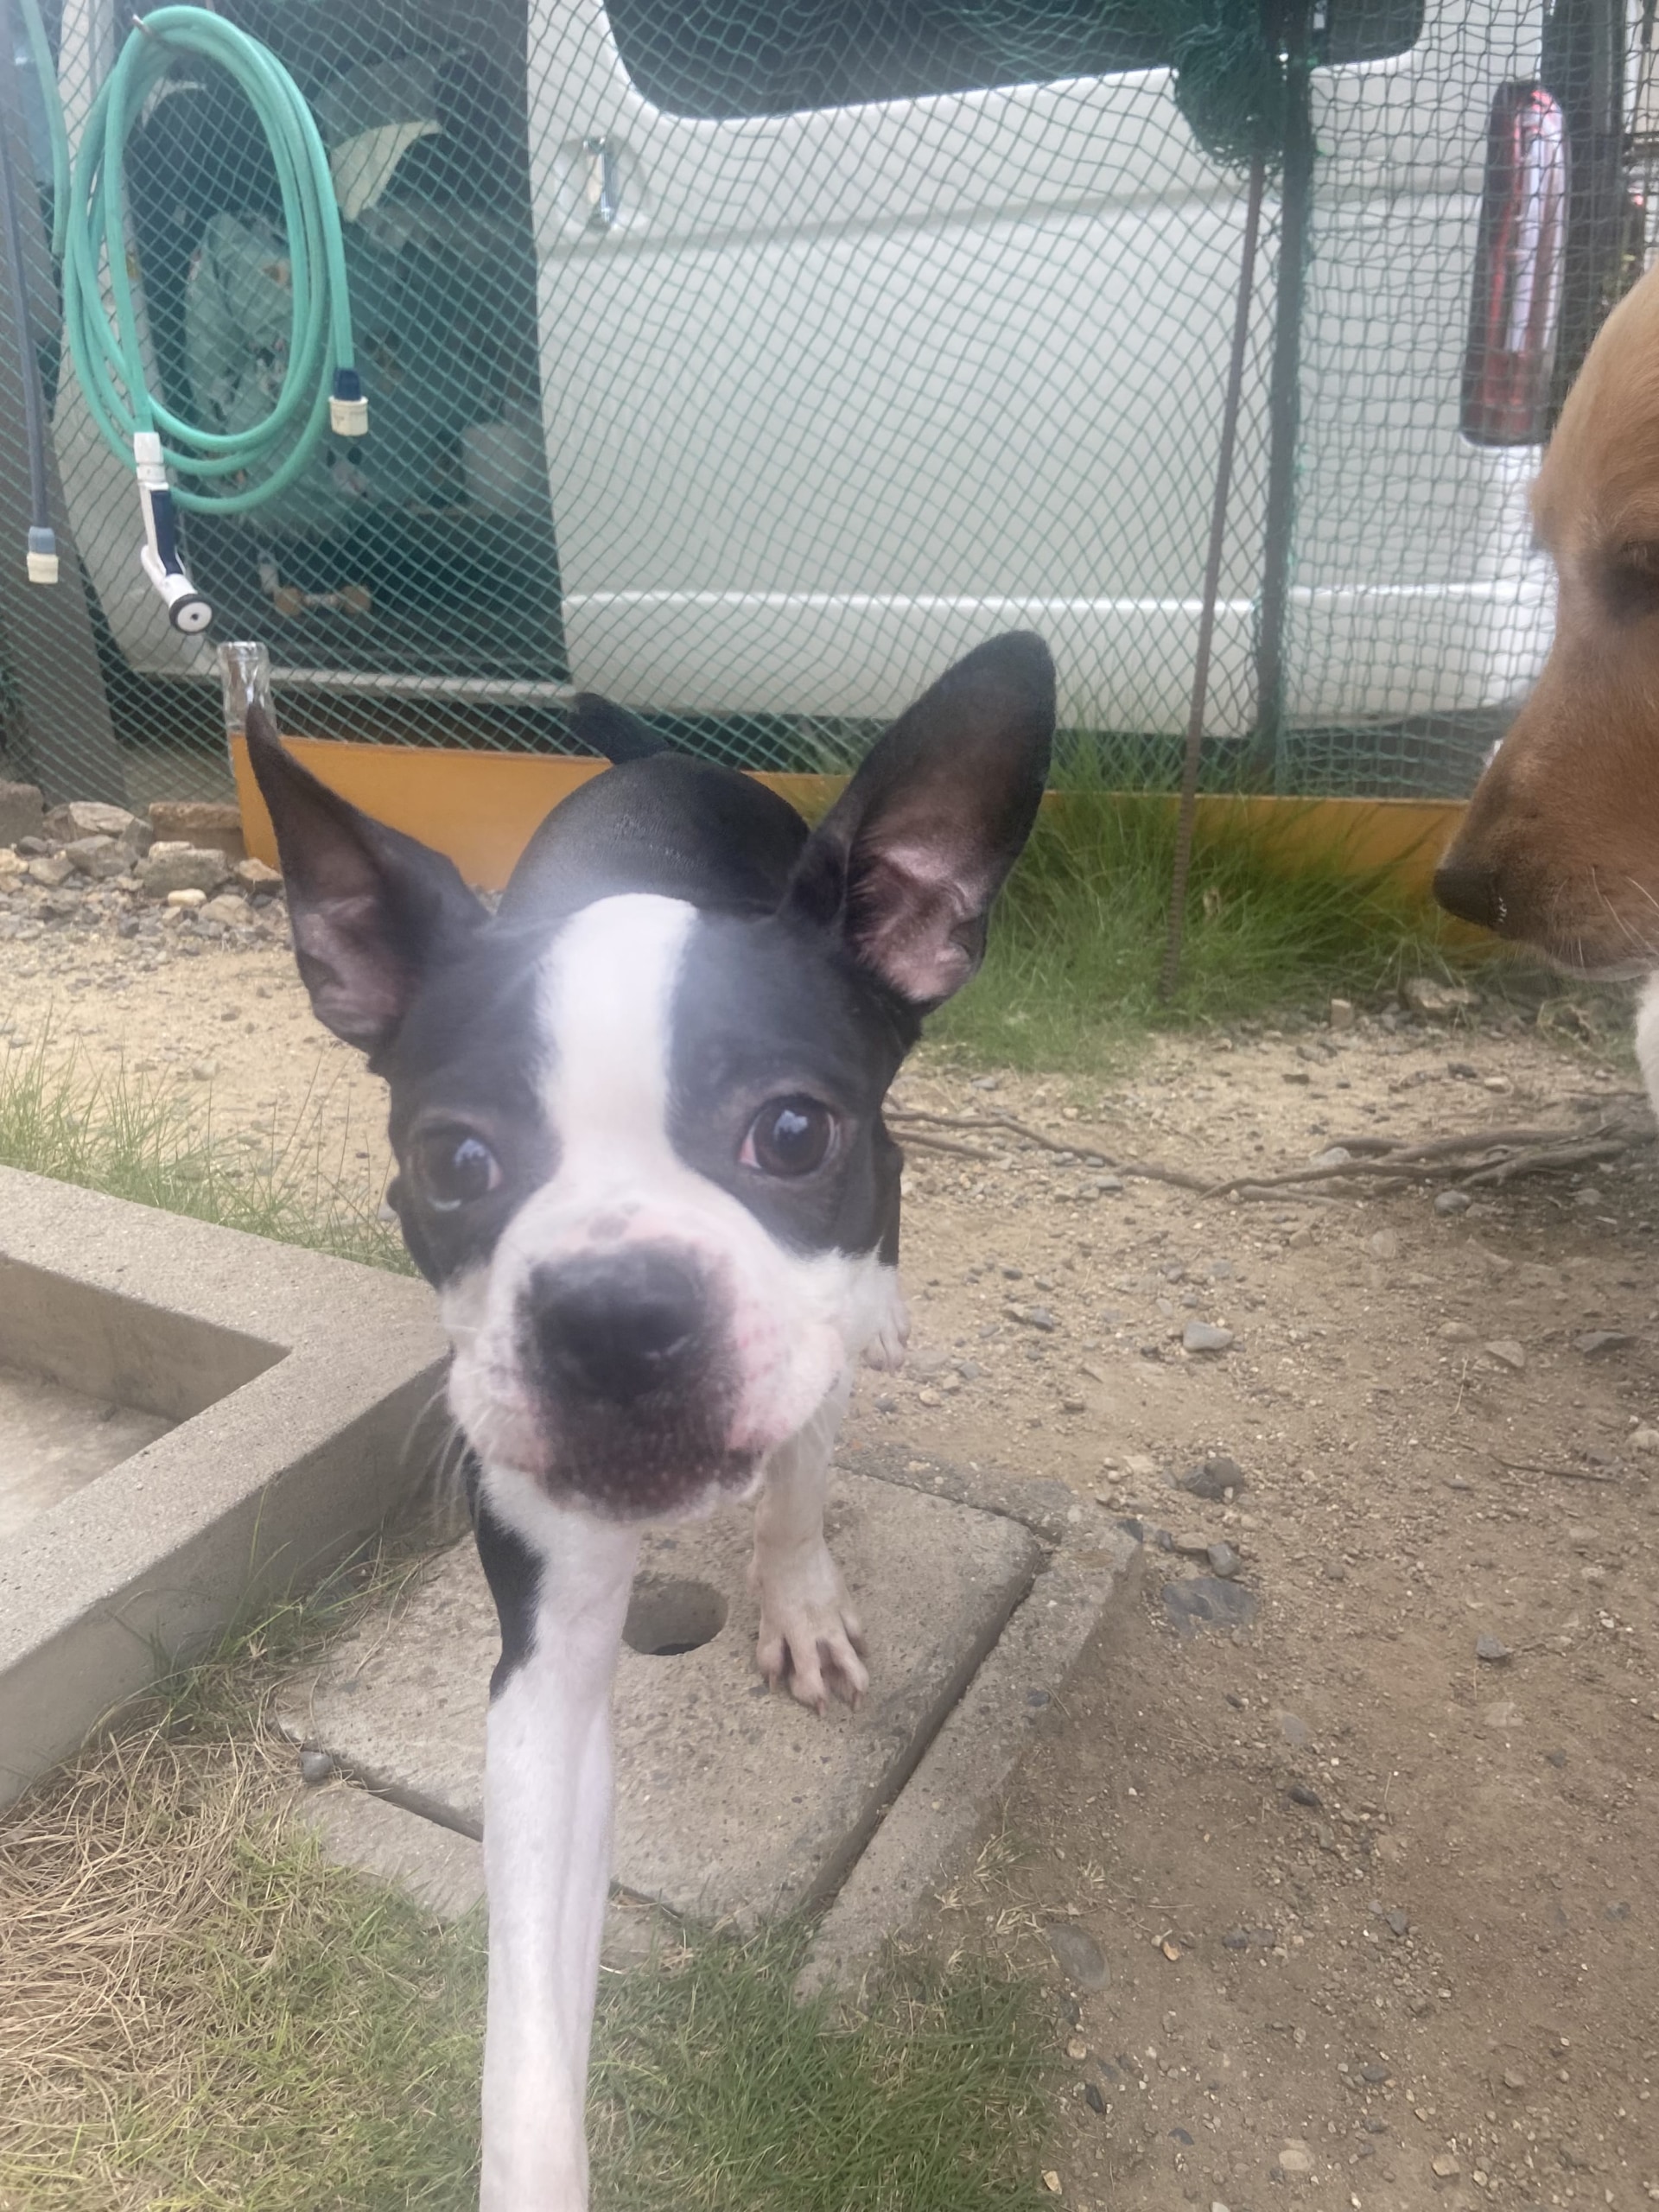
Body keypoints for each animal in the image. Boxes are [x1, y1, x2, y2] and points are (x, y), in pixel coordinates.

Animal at [244, 632, 1055, 2209]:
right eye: (452, 1160)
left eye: (792, 1132)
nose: (612, 1313)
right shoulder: (541, 1678)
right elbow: (525, 2032)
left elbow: (798, 1465)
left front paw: (797, 1597)